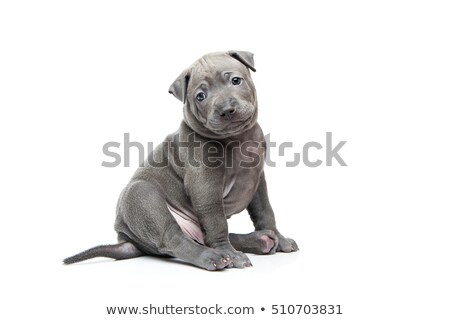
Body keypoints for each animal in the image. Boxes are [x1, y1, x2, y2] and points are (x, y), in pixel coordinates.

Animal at [62, 50, 296, 270]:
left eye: (236, 81)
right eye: (200, 96)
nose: (226, 110)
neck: (238, 139)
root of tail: (128, 240)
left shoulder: (257, 181)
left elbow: (265, 212)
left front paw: (280, 238)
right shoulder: (205, 188)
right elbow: (217, 223)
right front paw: (231, 255)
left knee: (204, 237)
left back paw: (261, 239)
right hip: (142, 196)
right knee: (175, 239)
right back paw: (214, 256)